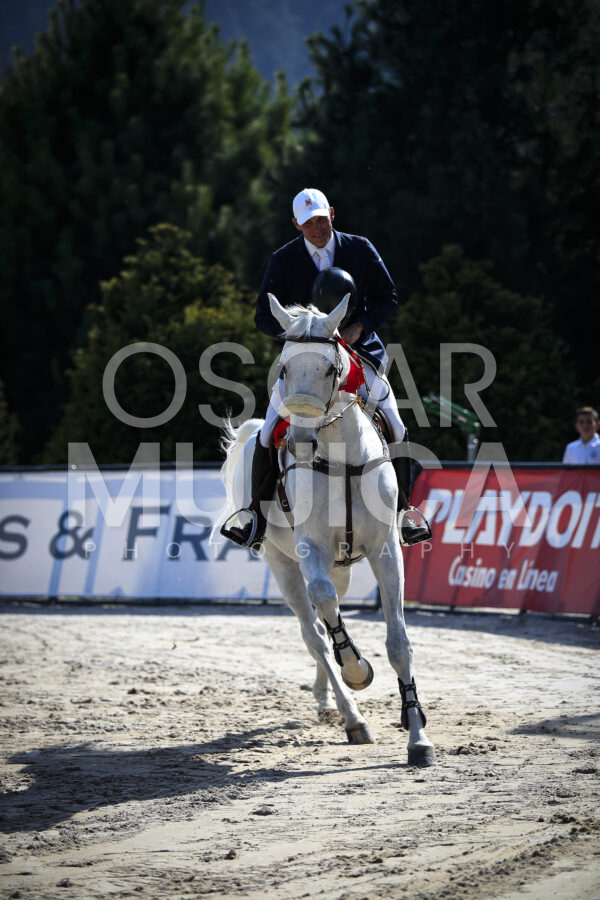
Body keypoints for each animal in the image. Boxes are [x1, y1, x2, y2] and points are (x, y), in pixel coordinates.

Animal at [216, 293, 436, 767]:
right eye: (282, 369)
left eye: (331, 370)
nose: (298, 442)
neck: (339, 457)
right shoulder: (308, 549)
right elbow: (326, 613)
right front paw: (356, 670)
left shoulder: (386, 550)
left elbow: (398, 642)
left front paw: (417, 736)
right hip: (282, 563)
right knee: (314, 631)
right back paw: (351, 714)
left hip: (343, 565)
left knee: (326, 617)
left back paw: (327, 697)